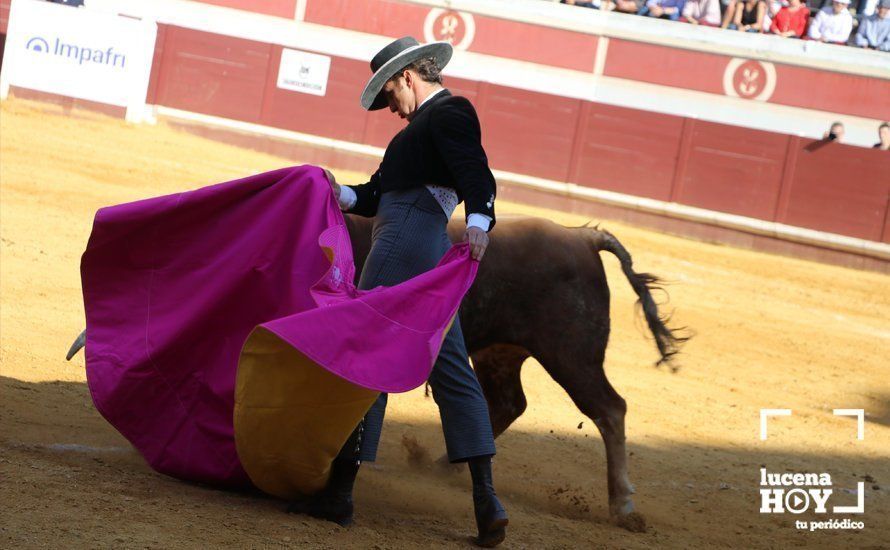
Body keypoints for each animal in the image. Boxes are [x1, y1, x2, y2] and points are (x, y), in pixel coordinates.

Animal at [342, 215, 688, 520]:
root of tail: (582, 236)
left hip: (572, 357)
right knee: (507, 404)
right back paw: (442, 467)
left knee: (609, 409)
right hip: (500, 354)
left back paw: (622, 506)